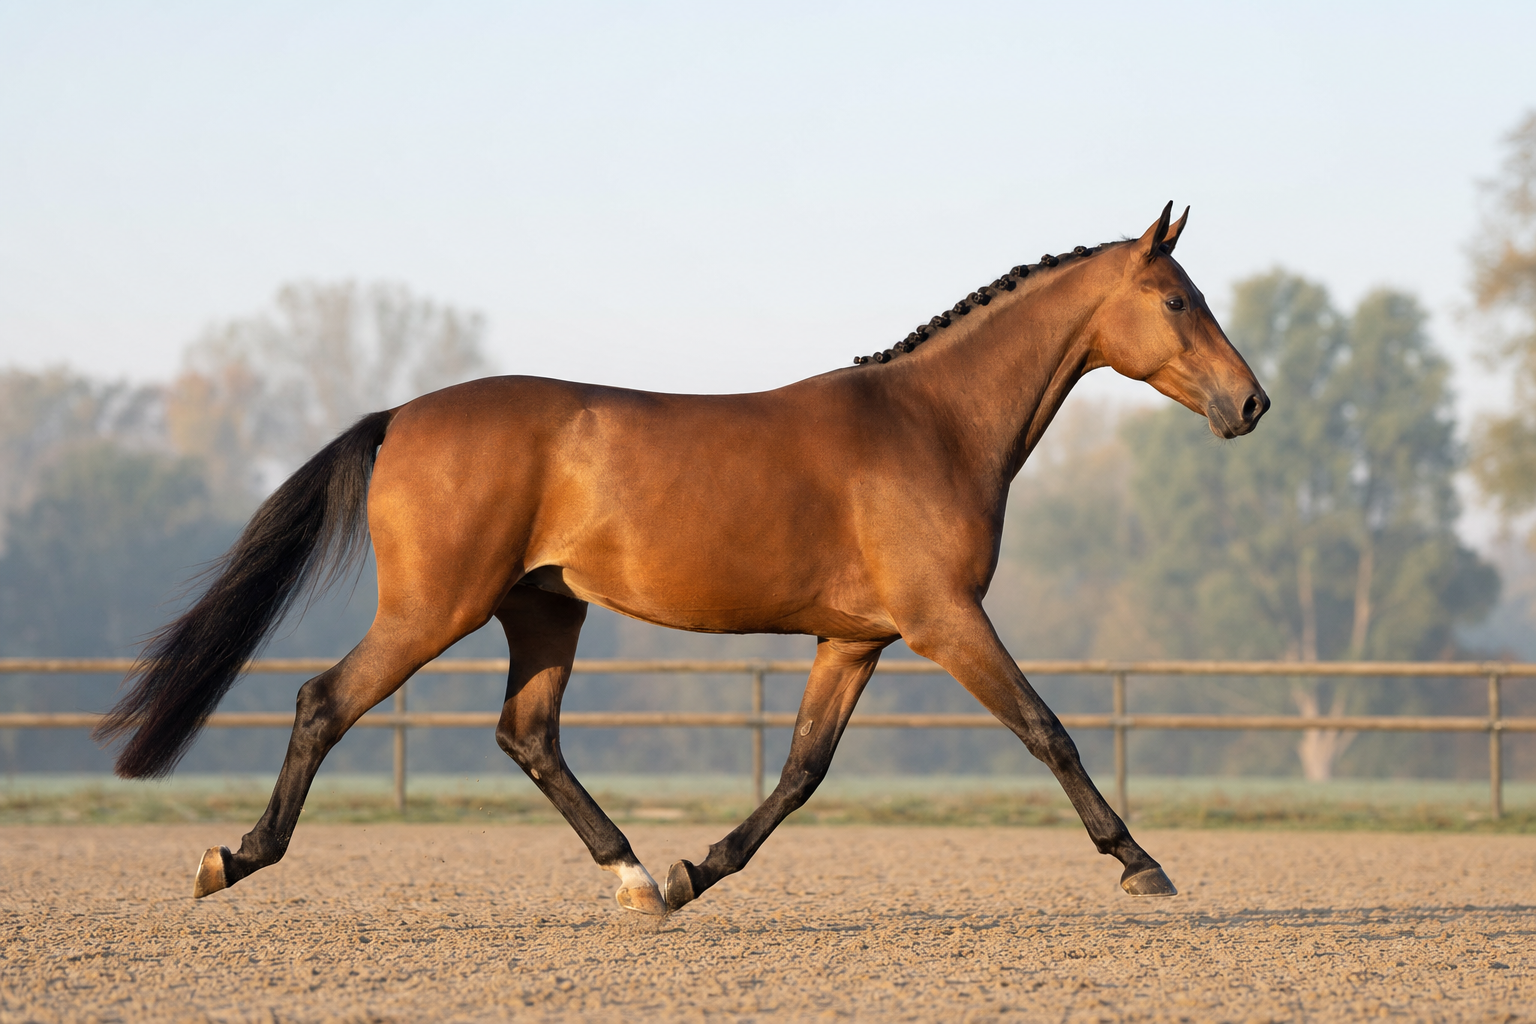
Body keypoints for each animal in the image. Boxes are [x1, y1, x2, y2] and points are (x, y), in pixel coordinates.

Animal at [96, 203, 1268, 915]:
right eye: (1179, 299)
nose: (1250, 403)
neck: (931, 424)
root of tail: (400, 417)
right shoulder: (946, 621)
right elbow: (1047, 729)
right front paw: (1143, 864)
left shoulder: (855, 641)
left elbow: (800, 771)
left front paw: (700, 869)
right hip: (436, 608)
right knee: (325, 702)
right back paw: (232, 858)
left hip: (544, 610)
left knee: (528, 735)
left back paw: (636, 880)